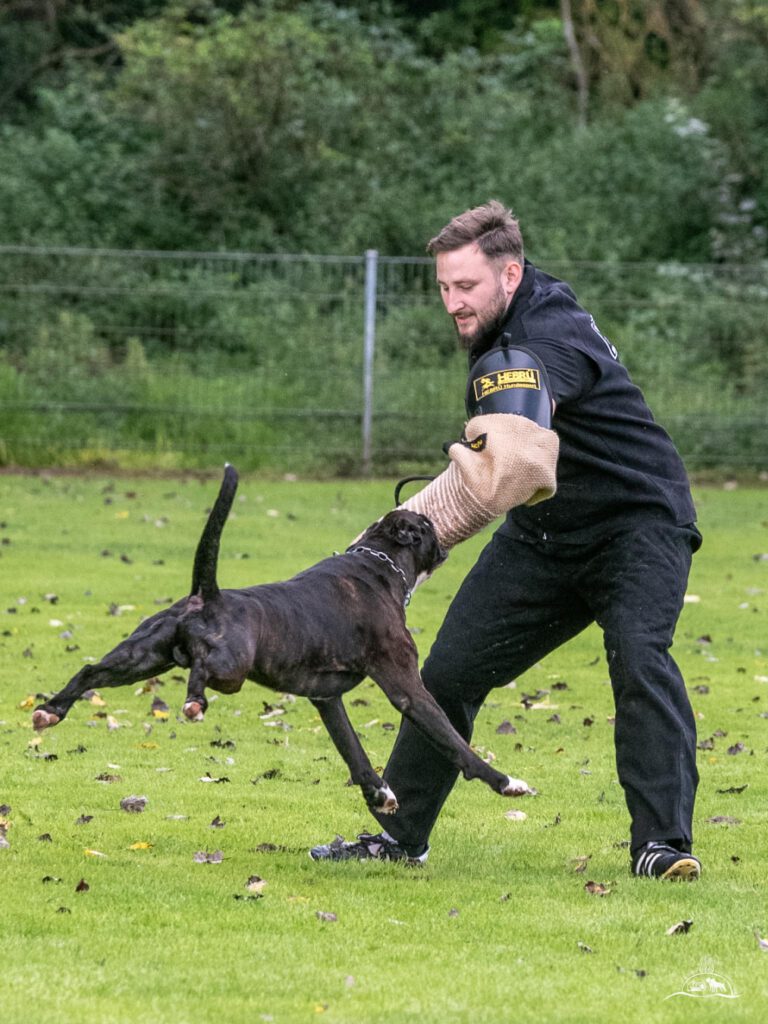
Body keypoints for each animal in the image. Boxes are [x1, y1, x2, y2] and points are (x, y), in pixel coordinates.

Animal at [33, 466, 532, 815]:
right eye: (425, 524)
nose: (441, 536)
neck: (378, 564)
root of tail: (206, 596)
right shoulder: (407, 688)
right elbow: (453, 743)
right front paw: (505, 781)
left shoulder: (326, 699)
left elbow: (353, 751)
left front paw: (379, 793)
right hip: (228, 668)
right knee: (199, 674)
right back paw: (193, 702)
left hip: (140, 657)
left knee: (90, 671)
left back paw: (50, 710)